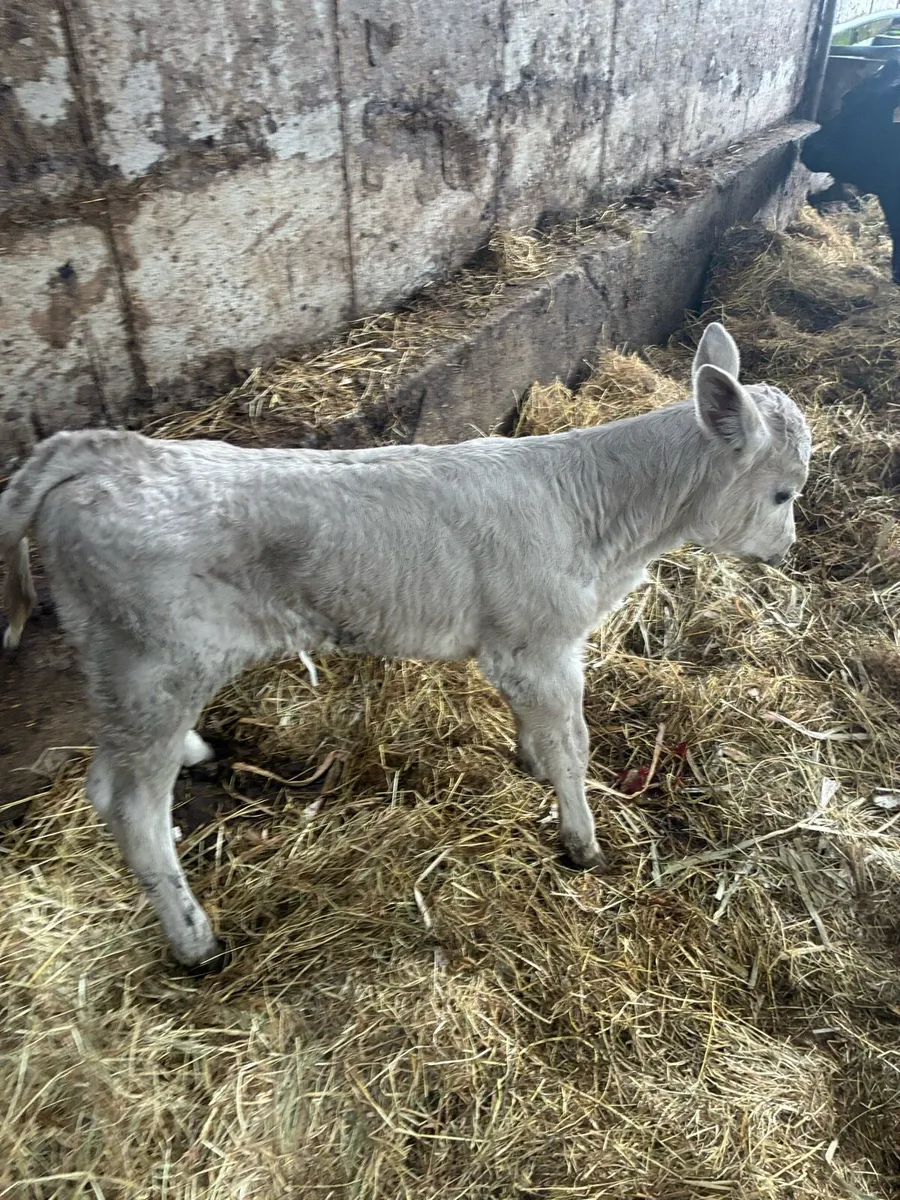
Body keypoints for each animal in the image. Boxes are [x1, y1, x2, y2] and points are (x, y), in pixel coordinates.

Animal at [0, 322, 811, 970]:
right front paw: (581, 844)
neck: (599, 517)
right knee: (127, 802)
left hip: (132, 664)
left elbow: (539, 731)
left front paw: (528, 761)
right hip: (153, 662)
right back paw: (196, 942)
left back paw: (198, 754)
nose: (787, 549)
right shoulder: (543, 643)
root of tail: (116, 454)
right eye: (784, 493)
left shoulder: (516, 647)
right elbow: (575, 746)